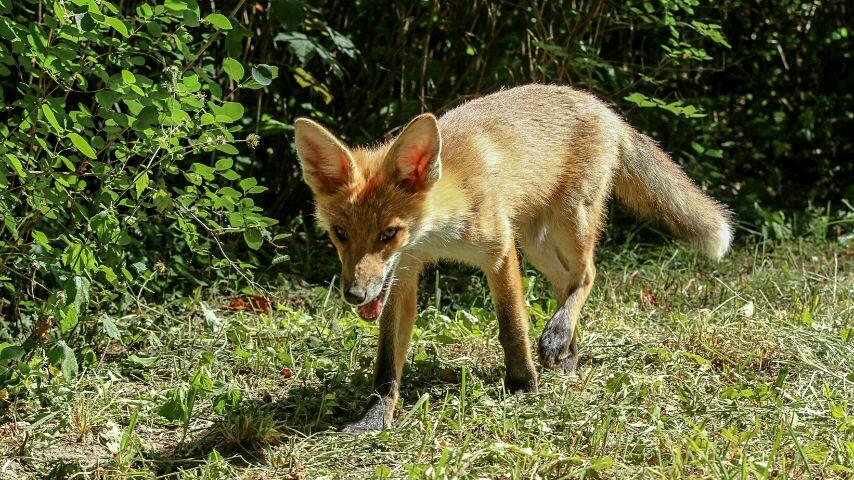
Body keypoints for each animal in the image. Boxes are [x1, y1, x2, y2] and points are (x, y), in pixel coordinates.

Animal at [294, 82, 736, 432]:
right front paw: (375, 416)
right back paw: (568, 351)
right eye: (340, 234)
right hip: (536, 241)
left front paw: (523, 386)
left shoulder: (500, 250)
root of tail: (601, 105)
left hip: (568, 221)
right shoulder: (403, 273)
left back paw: (557, 337)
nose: (354, 295)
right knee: (565, 282)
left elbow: (512, 327)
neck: (438, 231)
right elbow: (387, 361)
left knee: (588, 275)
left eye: (389, 233)